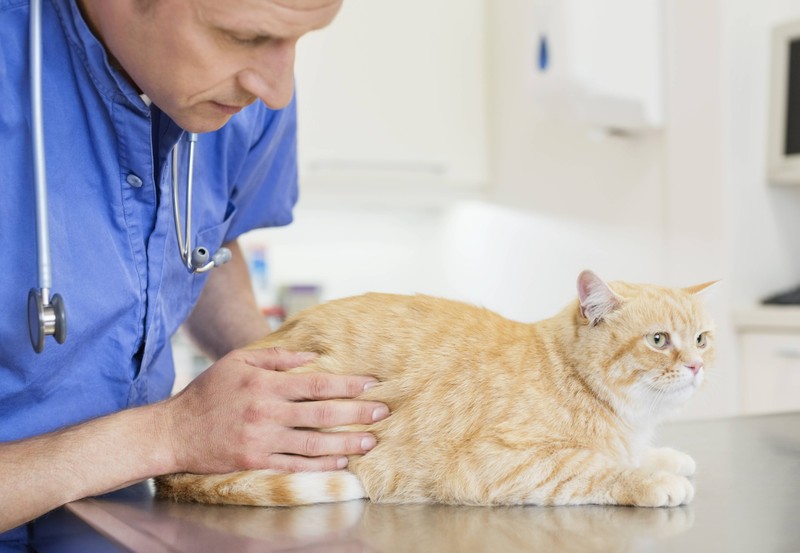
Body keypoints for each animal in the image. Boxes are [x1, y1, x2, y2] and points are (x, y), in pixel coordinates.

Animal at [155, 270, 712, 506]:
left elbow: (630, 454)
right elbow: (596, 469)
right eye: (659, 341)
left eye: (702, 339)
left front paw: (664, 458)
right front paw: (652, 481)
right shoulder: (498, 465)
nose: (696, 366)